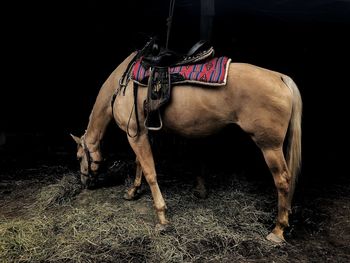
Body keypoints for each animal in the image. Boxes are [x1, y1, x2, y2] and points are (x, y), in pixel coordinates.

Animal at [70, 51, 300, 243]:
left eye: (79, 157)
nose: (84, 183)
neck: (123, 85)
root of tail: (280, 77)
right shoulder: (140, 133)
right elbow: (139, 164)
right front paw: (133, 191)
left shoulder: (134, 135)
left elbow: (150, 172)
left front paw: (162, 217)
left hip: (270, 147)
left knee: (283, 181)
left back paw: (278, 230)